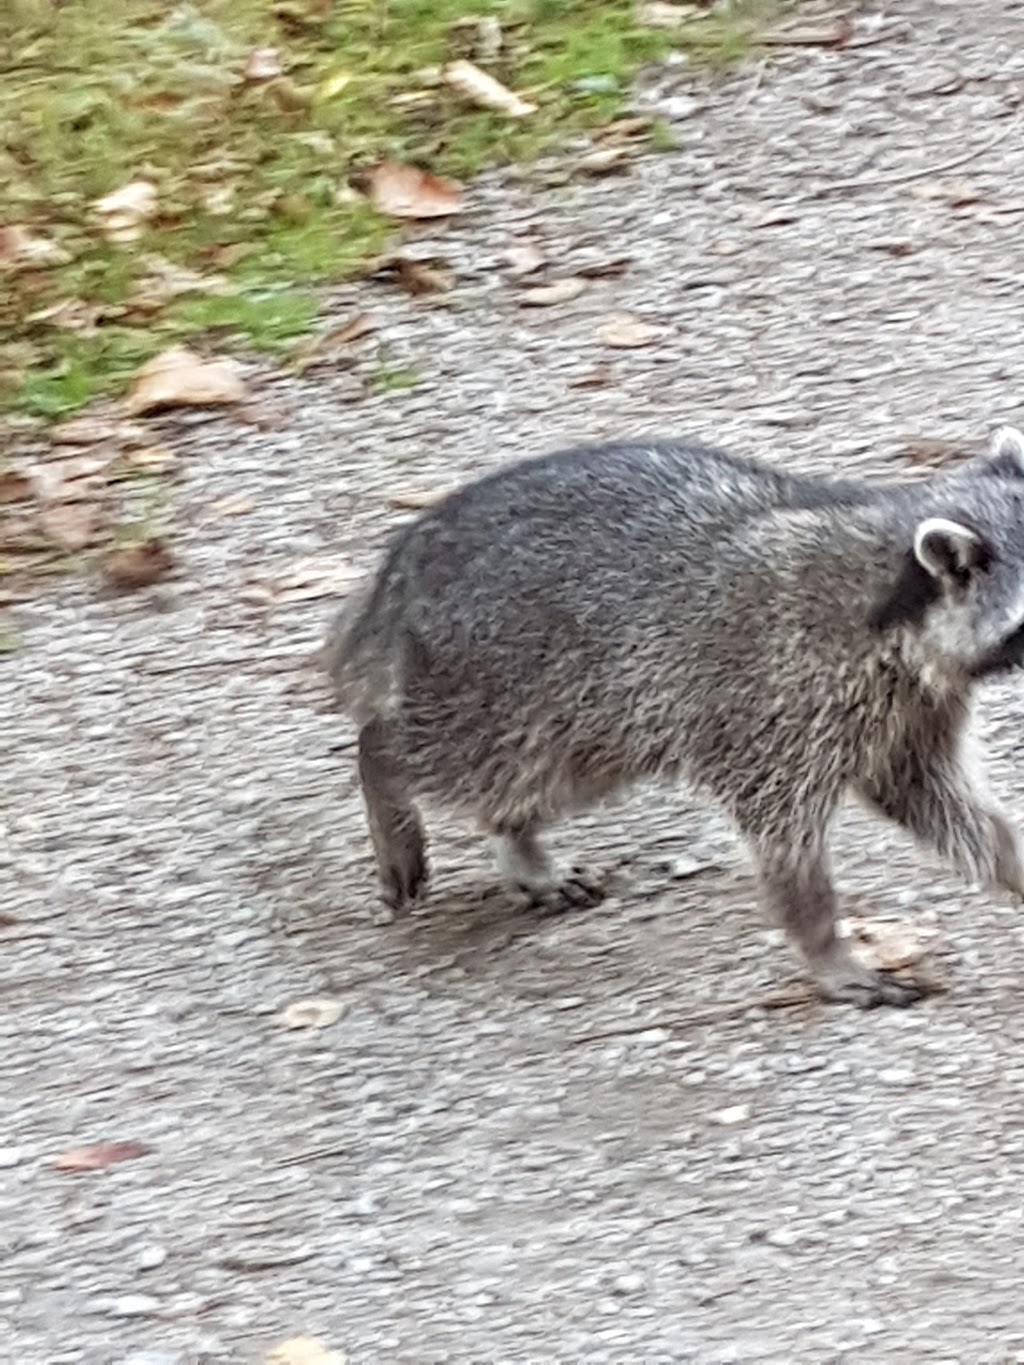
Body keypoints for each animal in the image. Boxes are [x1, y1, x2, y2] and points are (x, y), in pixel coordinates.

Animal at [322, 431, 1024, 1010]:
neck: (891, 600)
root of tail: (406, 563)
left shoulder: (911, 716)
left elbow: (943, 805)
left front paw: (1011, 860)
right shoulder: (779, 702)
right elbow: (785, 844)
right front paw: (826, 947)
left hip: (589, 715)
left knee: (539, 779)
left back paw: (519, 844)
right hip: (503, 679)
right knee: (468, 759)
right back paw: (383, 770)